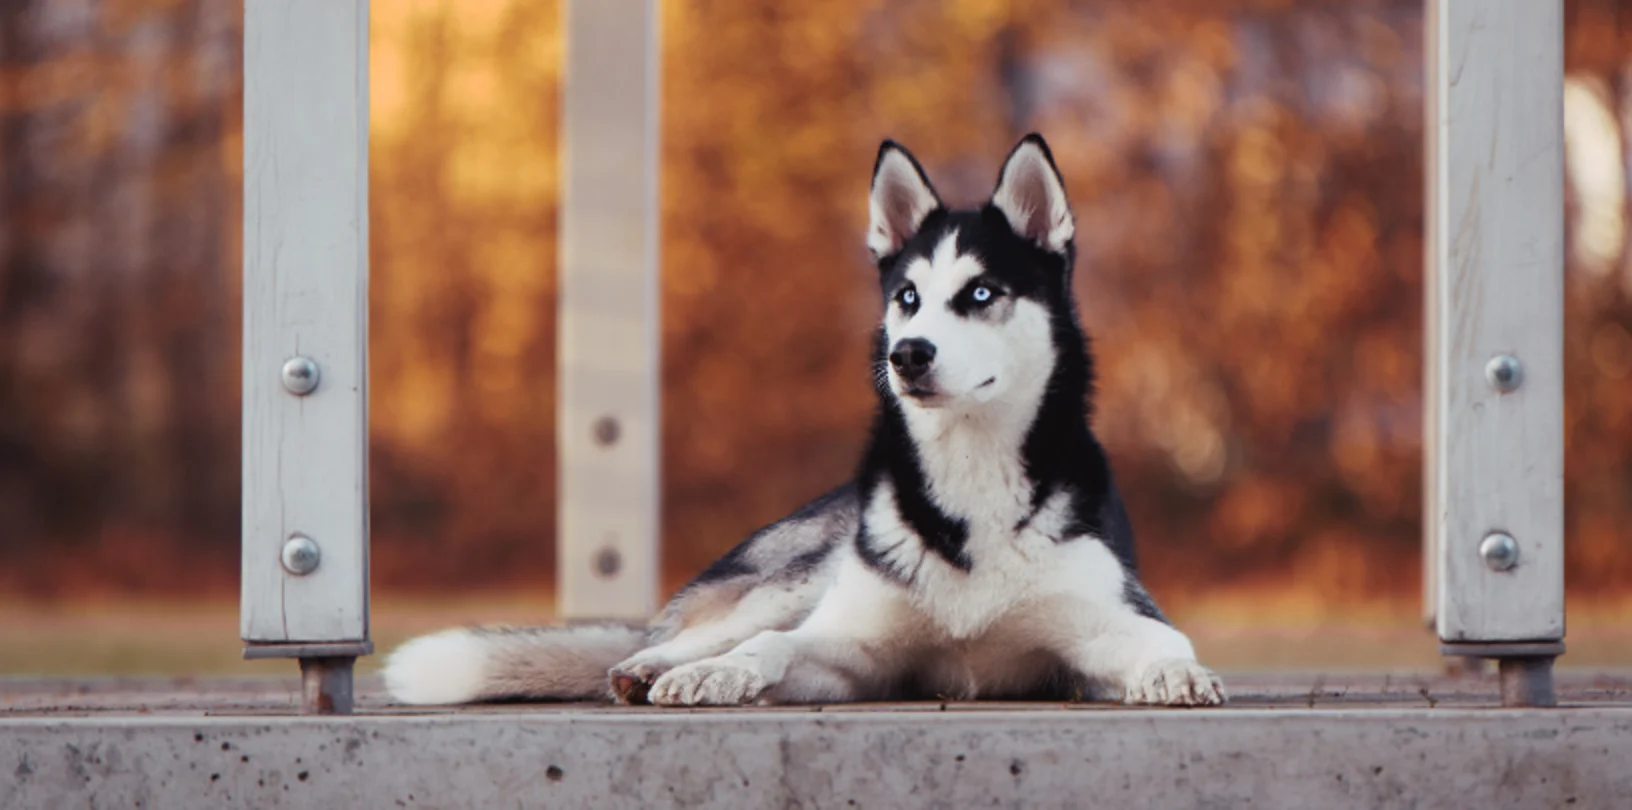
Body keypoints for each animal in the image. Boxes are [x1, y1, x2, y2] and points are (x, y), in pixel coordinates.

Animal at [381, 134, 1227, 708]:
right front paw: (718, 675)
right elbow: (770, 649)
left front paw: (1178, 671)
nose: (908, 355)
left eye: (981, 293)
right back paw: (655, 667)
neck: (971, 480)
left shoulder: (1104, 626)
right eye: (907, 297)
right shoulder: (851, 645)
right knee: (692, 634)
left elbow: (1166, 641)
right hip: (802, 577)